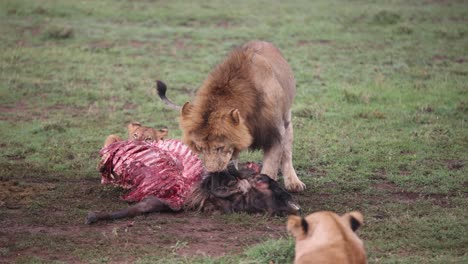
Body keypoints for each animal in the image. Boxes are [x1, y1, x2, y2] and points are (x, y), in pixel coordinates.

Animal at [155, 40, 306, 192]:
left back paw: (293, 182)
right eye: (201, 148)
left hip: (286, 119)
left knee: (287, 153)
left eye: (220, 147)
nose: (214, 173)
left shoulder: (274, 133)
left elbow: (269, 168)